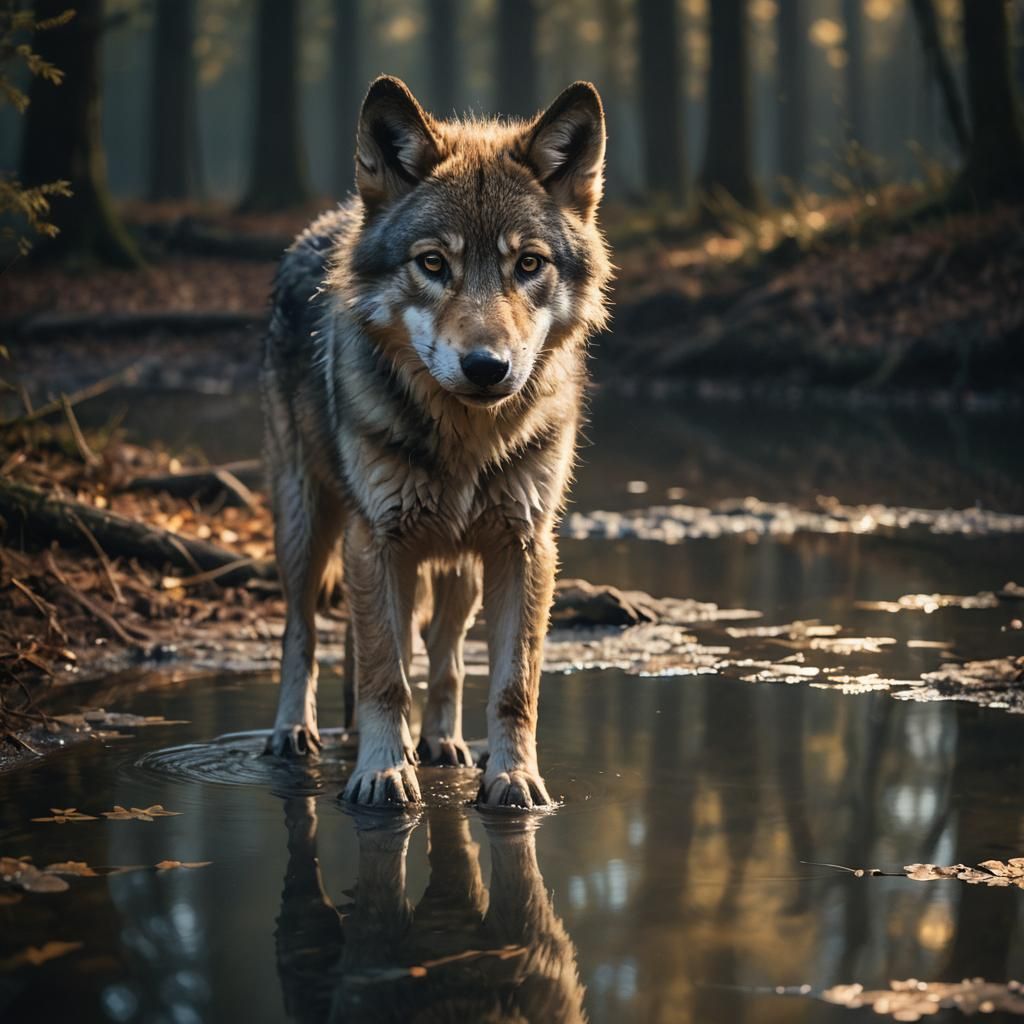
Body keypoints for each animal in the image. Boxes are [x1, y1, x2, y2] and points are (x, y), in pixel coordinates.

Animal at [262, 75, 611, 808]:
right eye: (432, 263)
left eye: (528, 264)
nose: (487, 367)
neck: (467, 441)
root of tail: (323, 224)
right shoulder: (377, 543)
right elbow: (385, 674)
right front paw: (381, 772)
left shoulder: (525, 546)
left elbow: (512, 686)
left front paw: (514, 777)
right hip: (307, 526)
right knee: (301, 632)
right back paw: (295, 732)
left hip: (460, 567)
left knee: (446, 654)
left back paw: (443, 743)